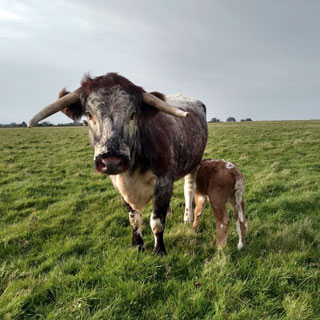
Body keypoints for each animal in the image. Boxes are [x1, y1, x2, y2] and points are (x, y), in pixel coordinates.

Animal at [29, 73, 208, 255]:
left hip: (194, 164)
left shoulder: (164, 183)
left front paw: (159, 251)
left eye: (133, 114)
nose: (111, 161)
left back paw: (188, 217)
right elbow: (134, 219)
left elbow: (157, 222)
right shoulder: (121, 187)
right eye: (89, 115)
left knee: (188, 189)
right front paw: (137, 245)